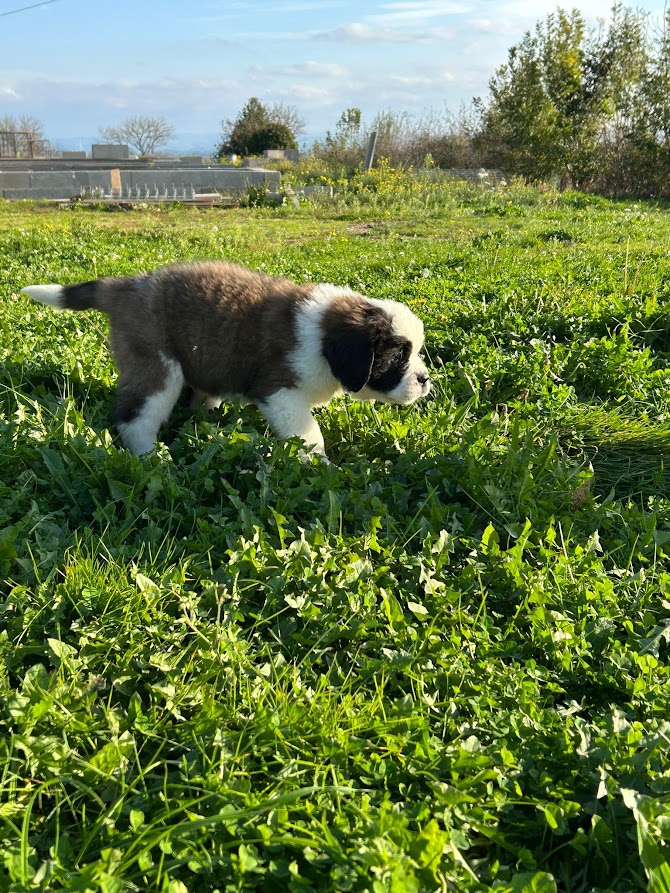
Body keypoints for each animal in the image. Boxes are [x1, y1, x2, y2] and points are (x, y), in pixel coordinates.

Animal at [21, 256, 434, 452]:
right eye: (397, 356)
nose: (425, 379)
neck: (324, 336)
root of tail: (127, 285)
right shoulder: (279, 393)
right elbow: (308, 432)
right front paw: (321, 464)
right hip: (157, 368)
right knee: (135, 418)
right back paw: (152, 457)